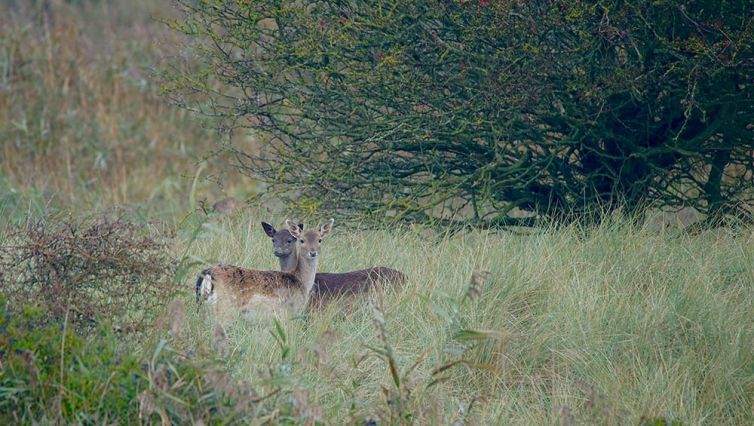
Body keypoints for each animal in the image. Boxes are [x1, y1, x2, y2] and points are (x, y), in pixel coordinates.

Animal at [195, 218, 334, 318]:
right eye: (302, 240)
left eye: (320, 240)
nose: (313, 252)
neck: (301, 282)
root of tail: (207, 273)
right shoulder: (289, 310)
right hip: (224, 307)